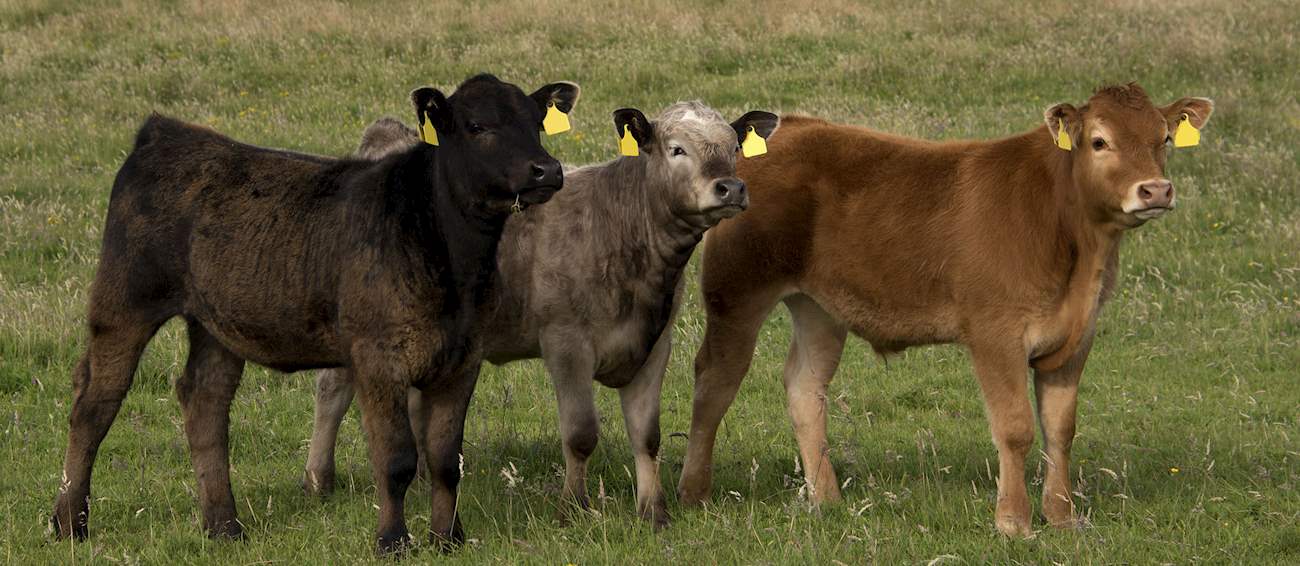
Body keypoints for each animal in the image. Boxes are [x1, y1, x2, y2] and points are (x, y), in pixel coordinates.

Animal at [676, 82, 1211, 536]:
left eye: (1164, 138)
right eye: (1099, 141)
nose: (1156, 190)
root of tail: (791, 127)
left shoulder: (1078, 338)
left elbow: (1061, 429)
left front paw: (1062, 517)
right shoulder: (995, 334)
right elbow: (1015, 428)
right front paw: (1014, 523)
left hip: (818, 307)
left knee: (805, 386)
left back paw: (824, 498)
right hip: (737, 292)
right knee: (715, 380)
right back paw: (693, 492)